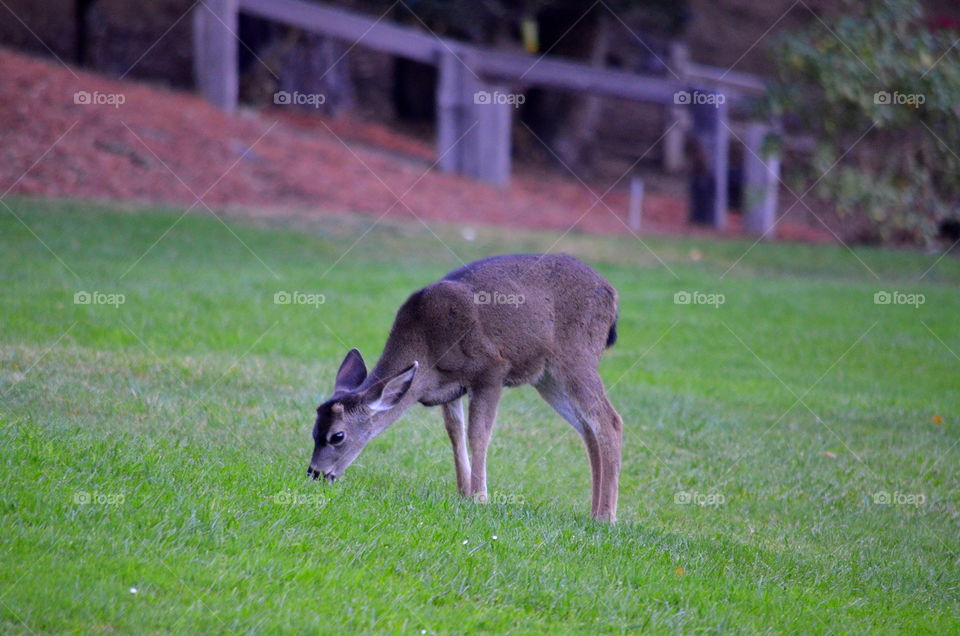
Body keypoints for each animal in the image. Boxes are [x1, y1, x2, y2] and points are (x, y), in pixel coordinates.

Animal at [306, 253, 624, 520]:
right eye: (313, 431)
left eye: (338, 436)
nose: (315, 473)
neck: (426, 345)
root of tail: (612, 295)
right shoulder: (449, 387)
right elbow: (455, 433)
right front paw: (463, 492)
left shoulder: (491, 370)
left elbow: (479, 434)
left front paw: (480, 497)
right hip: (547, 377)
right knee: (587, 428)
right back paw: (593, 511)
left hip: (577, 355)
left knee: (610, 420)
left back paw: (606, 517)